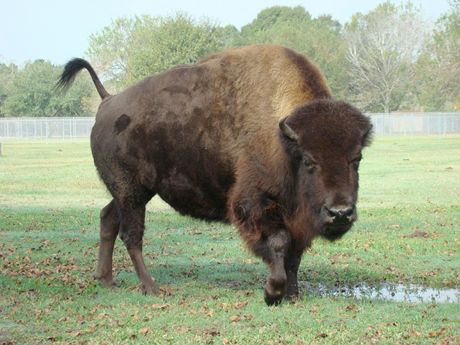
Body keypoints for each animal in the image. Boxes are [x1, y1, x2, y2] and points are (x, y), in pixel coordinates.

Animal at [58, 45, 374, 304]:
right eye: (309, 161)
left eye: (356, 159)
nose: (341, 213)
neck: (284, 141)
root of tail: (107, 103)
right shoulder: (254, 204)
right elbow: (279, 244)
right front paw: (272, 293)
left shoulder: (298, 217)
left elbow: (294, 254)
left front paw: (292, 295)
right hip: (131, 192)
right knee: (131, 234)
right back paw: (151, 287)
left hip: (135, 192)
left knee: (108, 218)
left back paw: (106, 280)